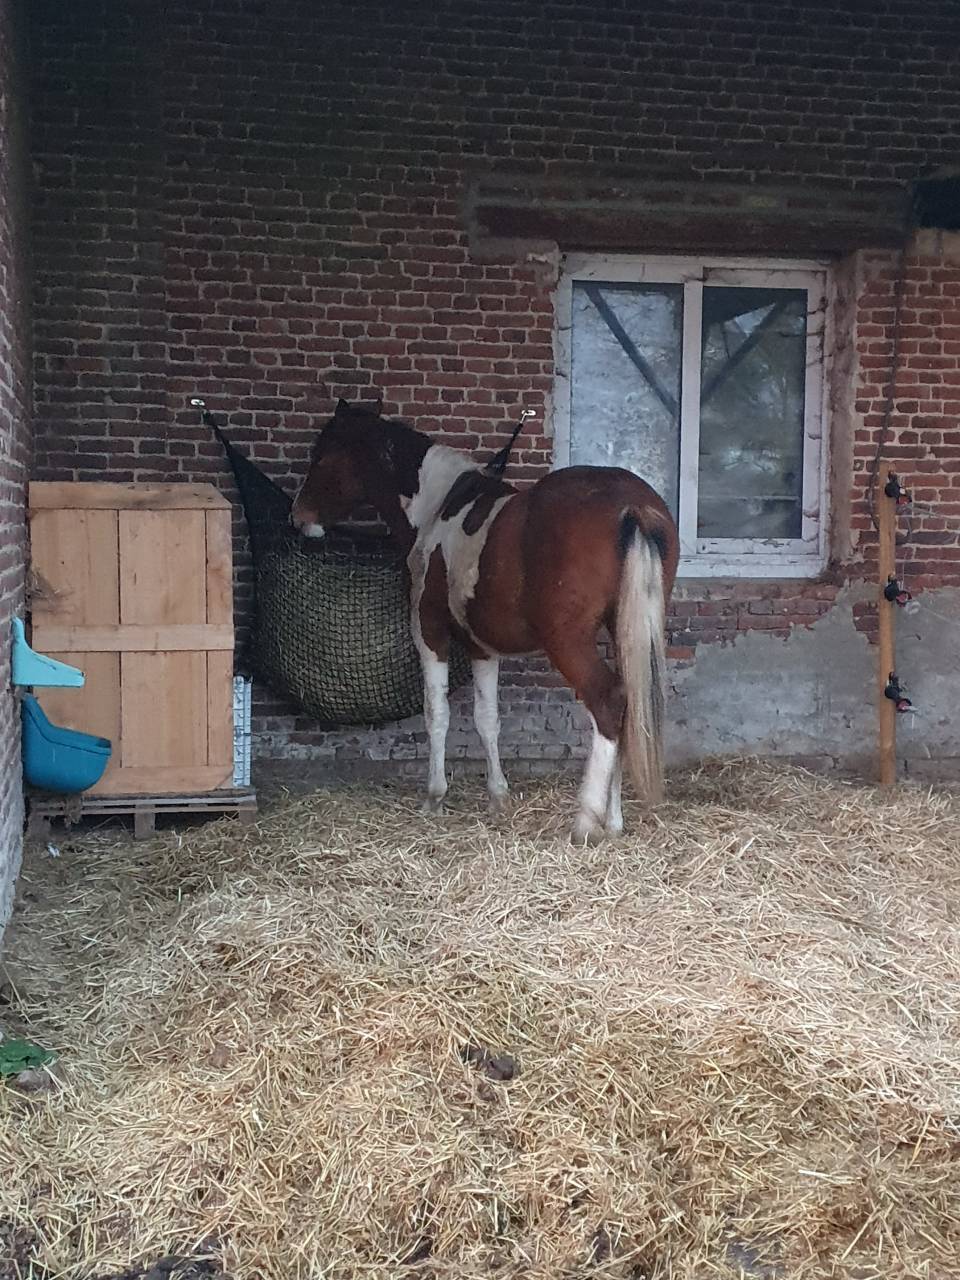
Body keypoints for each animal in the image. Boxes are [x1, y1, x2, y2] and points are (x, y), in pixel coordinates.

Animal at [291, 400, 679, 843]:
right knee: (627, 705)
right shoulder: (482, 647)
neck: (438, 508)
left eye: (322, 456)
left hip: (569, 642)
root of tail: (630, 506)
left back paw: (585, 820)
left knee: (608, 700)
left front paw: (435, 797)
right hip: (624, 633)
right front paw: (498, 797)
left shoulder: (429, 631)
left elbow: (437, 713)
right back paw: (612, 822)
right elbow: (487, 719)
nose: (298, 516)